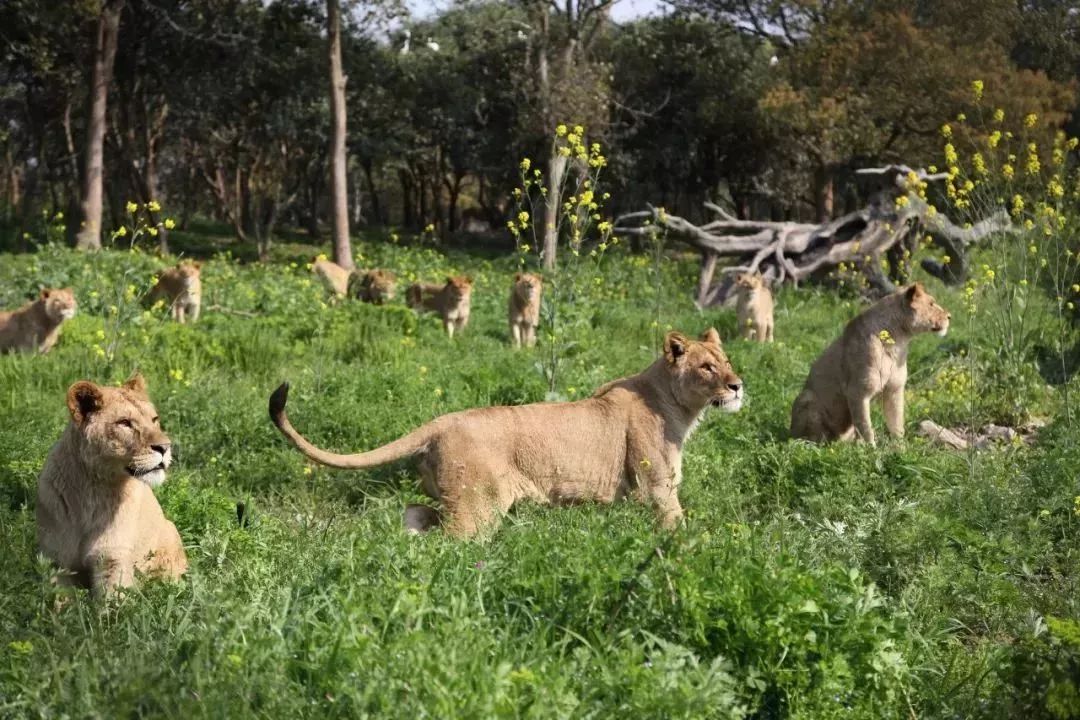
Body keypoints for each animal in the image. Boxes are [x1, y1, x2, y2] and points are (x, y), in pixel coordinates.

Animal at [35, 371, 187, 595]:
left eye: (154, 419)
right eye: (124, 423)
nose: (165, 447)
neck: (93, 489)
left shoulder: (113, 559)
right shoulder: (56, 562)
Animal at [268, 330, 743, 537]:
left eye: (726, 361)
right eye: (706, 367)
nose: (738, 385)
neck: (680, 407)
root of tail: (441, 421)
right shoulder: (657, 489)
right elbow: (677, 529)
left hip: (455, 499)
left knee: (414, 515)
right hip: (477, 507)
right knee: (450, 543)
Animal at [790, 280, 950, 444]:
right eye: (931, 304)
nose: (949, 316)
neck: (898, 340)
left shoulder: (894, 389)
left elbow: (897, 423)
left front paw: (900, 446)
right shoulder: (857, 391)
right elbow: (865, 425)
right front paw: (870, 448)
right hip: (807, 398)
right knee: (810, 437)